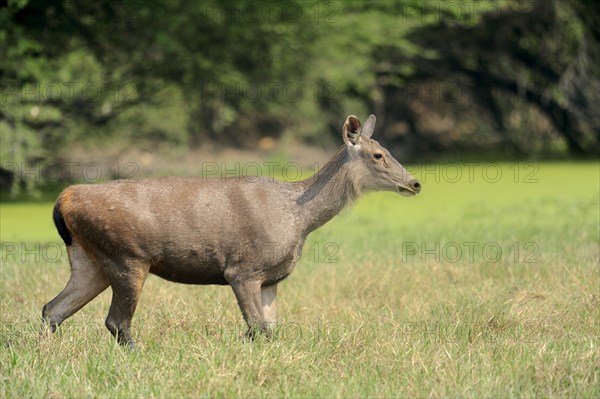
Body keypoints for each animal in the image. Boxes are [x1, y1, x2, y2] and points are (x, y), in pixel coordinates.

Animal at [41, 115, 422, 346]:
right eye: (378, 155)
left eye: (387, 150)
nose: (415, 183)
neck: (299, 218)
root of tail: (63, 201)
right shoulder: (242, 269)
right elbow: (256, 327)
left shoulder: (270, 278)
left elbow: (269, 329)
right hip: (128, 256)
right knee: (116, 322)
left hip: (89, 259)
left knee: (52, 309)